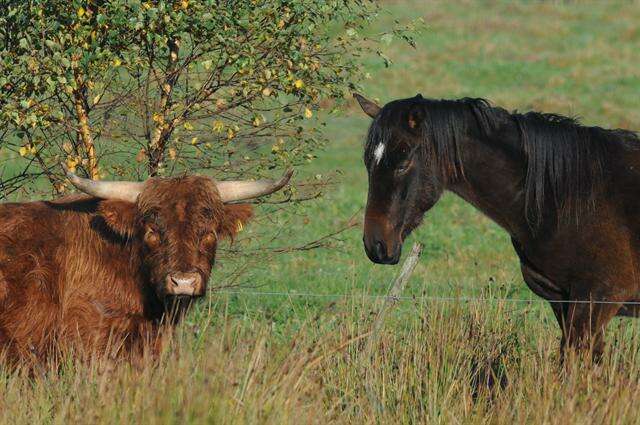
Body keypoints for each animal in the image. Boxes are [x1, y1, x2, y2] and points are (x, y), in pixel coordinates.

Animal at [356, 92, 640, 358]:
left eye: (403, 164)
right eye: (368, 163)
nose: (375, 245)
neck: (569, 197)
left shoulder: (596, 300)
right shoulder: (563, 301)